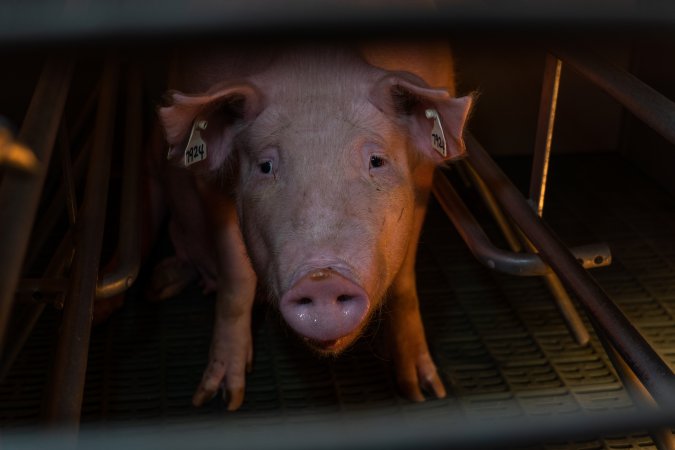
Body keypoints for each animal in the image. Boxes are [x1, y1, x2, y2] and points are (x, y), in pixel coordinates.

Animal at [152, 43, 470, 412]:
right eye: (265, 167)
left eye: (377, 161)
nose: (321, 278)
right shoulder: (209, 185)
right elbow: (236, 279)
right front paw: (222, 399)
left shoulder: (423, 178)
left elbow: (404, 281)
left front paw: (424, 391)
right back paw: (159, 287)